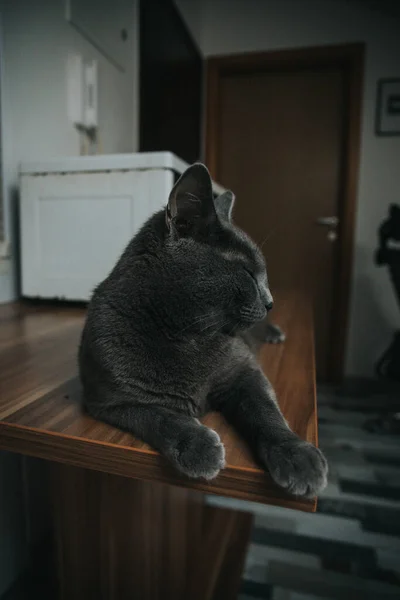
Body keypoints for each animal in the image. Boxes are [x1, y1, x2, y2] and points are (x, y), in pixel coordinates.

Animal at [79, 163, 328, 496]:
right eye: (248, 273)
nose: (270, 301)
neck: (187, 333)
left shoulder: (244, 371)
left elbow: (265, 411)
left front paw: (296, 455)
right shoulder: (111, 399)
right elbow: (160, 416)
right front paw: (197, 446)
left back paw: (275, 332)